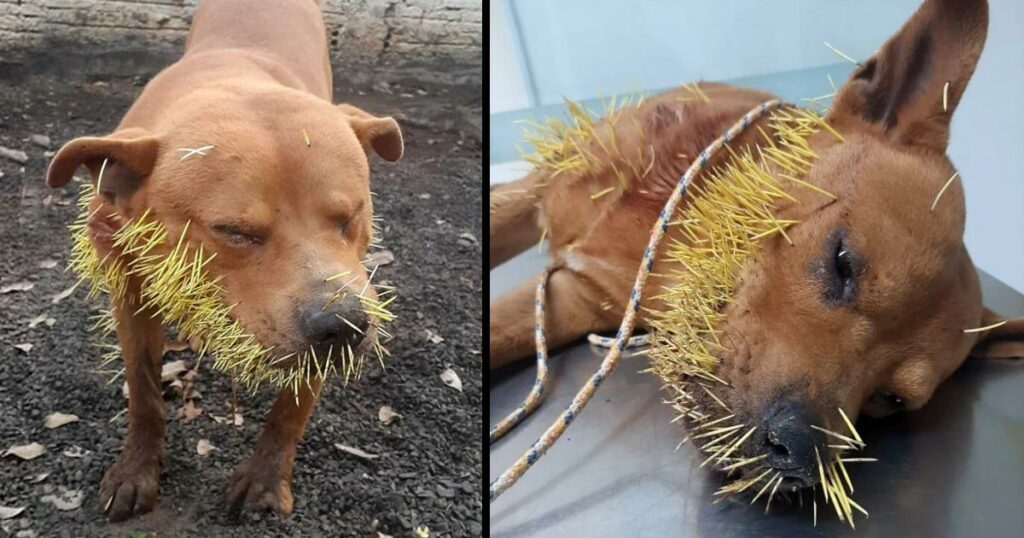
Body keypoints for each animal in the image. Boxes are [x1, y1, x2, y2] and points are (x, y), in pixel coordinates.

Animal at [44, 0, 403, 522]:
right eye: (235, 232)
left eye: (350, 216)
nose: (344, 325)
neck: (235, 80)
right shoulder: (129, 292)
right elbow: (143, 389)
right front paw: (136, 470)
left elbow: (290, 410)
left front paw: (266, 479)